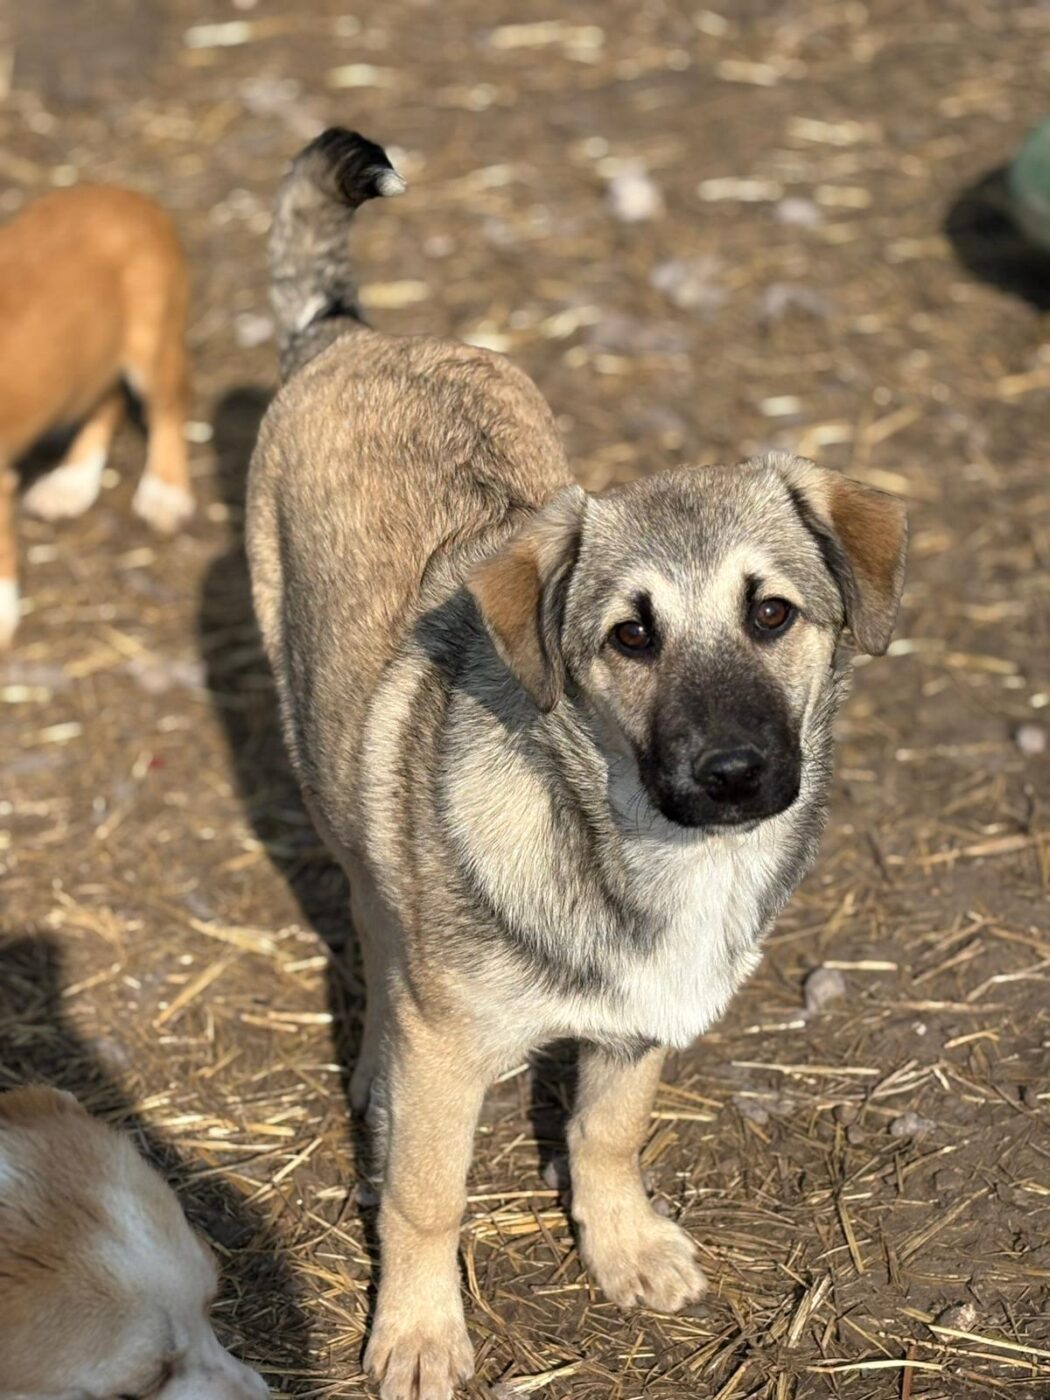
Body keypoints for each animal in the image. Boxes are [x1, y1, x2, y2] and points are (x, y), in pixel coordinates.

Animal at [0, 184, 195, 648]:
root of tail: (128, 196)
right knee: (109, 402)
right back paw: (71, 484)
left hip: (153, 342)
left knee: (168, 407)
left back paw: (165, 492)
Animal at [246, 129, 907, 1400]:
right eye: (630, 636)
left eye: (772, 612)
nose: (734, 770)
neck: (640, 845)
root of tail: (355, 335)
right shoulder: (449, 1052)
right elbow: (425, 1198)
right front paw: (416, 1331)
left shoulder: (642, 1020)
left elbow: (607, 1131)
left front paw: (622, 1243)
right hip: (318, 748)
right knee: (370, 913)